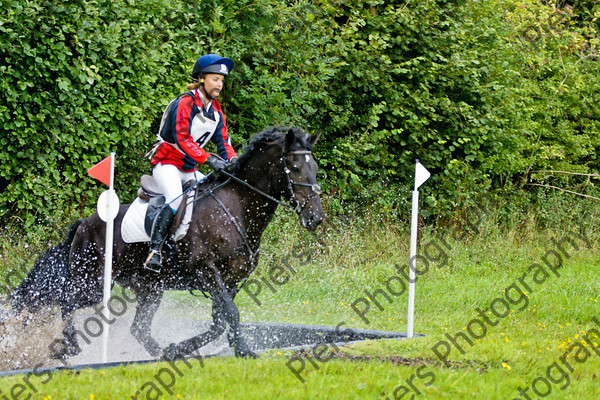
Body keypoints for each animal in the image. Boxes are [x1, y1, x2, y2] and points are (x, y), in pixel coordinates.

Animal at [10, 127, 324, 360]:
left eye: (315, 168)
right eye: (295, 168)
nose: (316, 218)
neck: (235, 207)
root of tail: (83, 225)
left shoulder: (232, 280)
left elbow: (221, 321)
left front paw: (181, 349)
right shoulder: (207, 272)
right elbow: (230, 315)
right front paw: (245, 351)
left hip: (150, 288)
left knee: (138, 328)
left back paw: (162, 351)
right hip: (94, 284)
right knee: (66, 301)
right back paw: (69, 346)